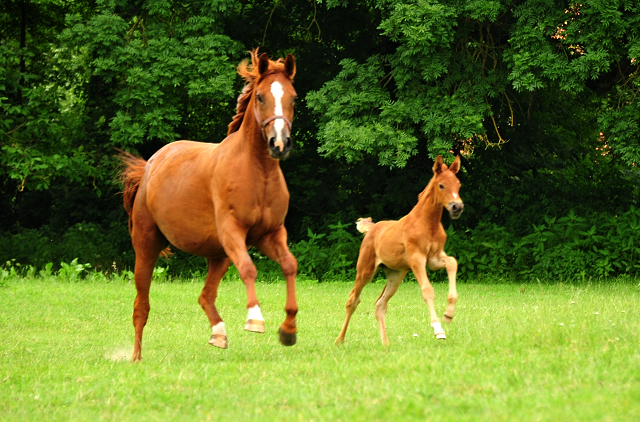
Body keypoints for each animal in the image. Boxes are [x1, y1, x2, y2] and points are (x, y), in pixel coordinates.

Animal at [119, 48, 298, 360]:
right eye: (260, 96)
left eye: (294, 97)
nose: (279, 143)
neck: (258, 172)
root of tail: (149, 166)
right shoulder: (233, 232)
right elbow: (249, 269)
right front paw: (255, 319)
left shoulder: (270, 235)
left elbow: (289, 265)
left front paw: (288, 329)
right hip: (147, 246)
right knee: (141, 306)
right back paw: (136, 357)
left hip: (219, 256)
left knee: (205, 295)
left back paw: (219, 333)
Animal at [336, 156, 464, 346]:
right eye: (441, 185)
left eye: (458, 184)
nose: (457, 207)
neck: (428, 223)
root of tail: (373, 228)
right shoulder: (416, 259)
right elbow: (427, 290)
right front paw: (438, 330)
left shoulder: (434, 259)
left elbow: (452, 262)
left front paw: (448, 314)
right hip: (365, 270)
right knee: (353, 300)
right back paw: (340, 340)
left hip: (395, 275)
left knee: (380, 304)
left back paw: (385, 344)